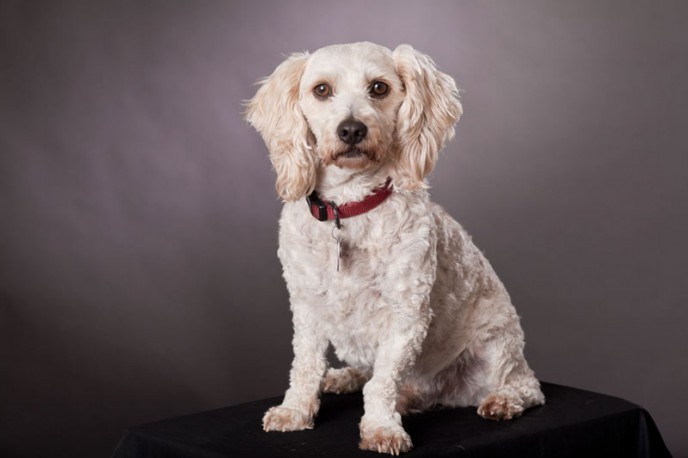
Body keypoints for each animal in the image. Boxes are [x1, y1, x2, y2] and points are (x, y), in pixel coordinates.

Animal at [246, 42, 544, 454]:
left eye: (379, 88)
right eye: (321, 90)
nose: (351, 129)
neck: (350, 207)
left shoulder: (407, 315)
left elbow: (383, 381)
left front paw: (381, 427)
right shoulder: (306, 306)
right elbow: (305, 365)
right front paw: (295, 410)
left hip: (497, 346)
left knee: (528, 387)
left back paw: (501, 400)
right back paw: (348, 377)